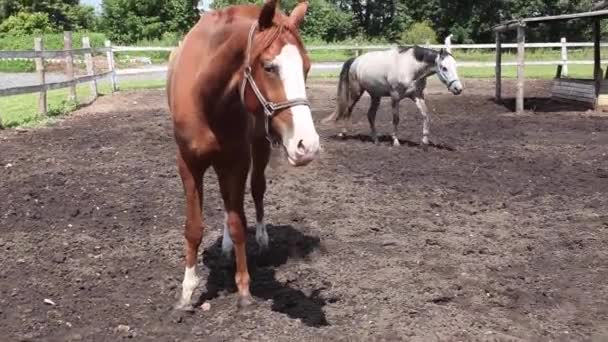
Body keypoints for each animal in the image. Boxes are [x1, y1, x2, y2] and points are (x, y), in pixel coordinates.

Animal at [166, 0, 318, 310]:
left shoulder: (236, 161)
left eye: (306, 67)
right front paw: (187, 292)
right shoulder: (188, 164)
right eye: (269, 67)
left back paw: (261, 239)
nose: (307, 145)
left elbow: (238, 223)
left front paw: (244, 289)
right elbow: (193, 227)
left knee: (257, 190)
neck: (206, 97)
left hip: (259, 146)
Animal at [326, 45, 464, 147]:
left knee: (370, 115)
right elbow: (396, 119)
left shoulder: (417, 96)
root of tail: (355, 60)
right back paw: (343, 134)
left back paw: (375, 139)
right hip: (356, 92)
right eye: (444, 68)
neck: (411, 67)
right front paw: (396, 141)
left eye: (455, 66)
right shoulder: (395, 97)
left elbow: (426, 115)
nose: (458, 89)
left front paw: (424, 141)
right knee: (348, 110)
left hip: (375, 96)